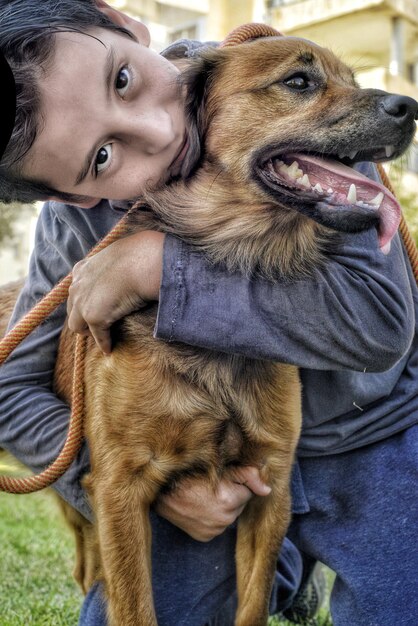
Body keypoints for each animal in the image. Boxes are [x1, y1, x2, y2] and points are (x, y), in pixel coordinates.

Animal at [1, 33, 416, 624]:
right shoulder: (119, 487)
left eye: (353, 81)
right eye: (298, 82)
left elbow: (253, 603)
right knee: (89, 564)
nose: (411, 108)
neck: (235, 250)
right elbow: (134, 606)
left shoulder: (270, 485)